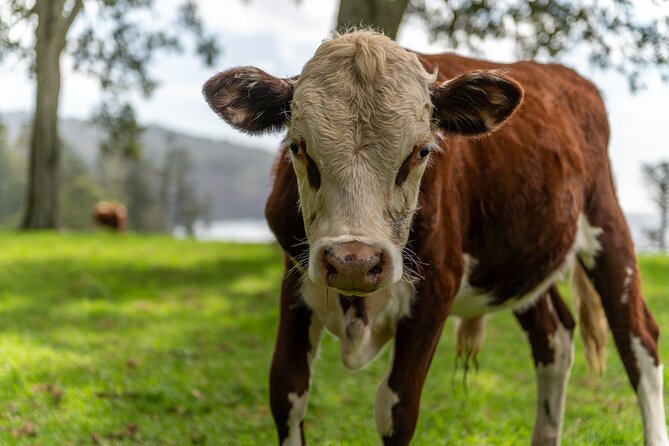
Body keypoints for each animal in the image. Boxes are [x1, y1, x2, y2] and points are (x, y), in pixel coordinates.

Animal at [204, 29, 668, 444]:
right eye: (298, 147)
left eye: (421, 151)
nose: (354, 262)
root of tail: (565, 76)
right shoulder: (297, 278)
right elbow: (287, 393)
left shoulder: (436, 288)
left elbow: (396, 410)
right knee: (554, 338)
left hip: (607, 224)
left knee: (638, 340)